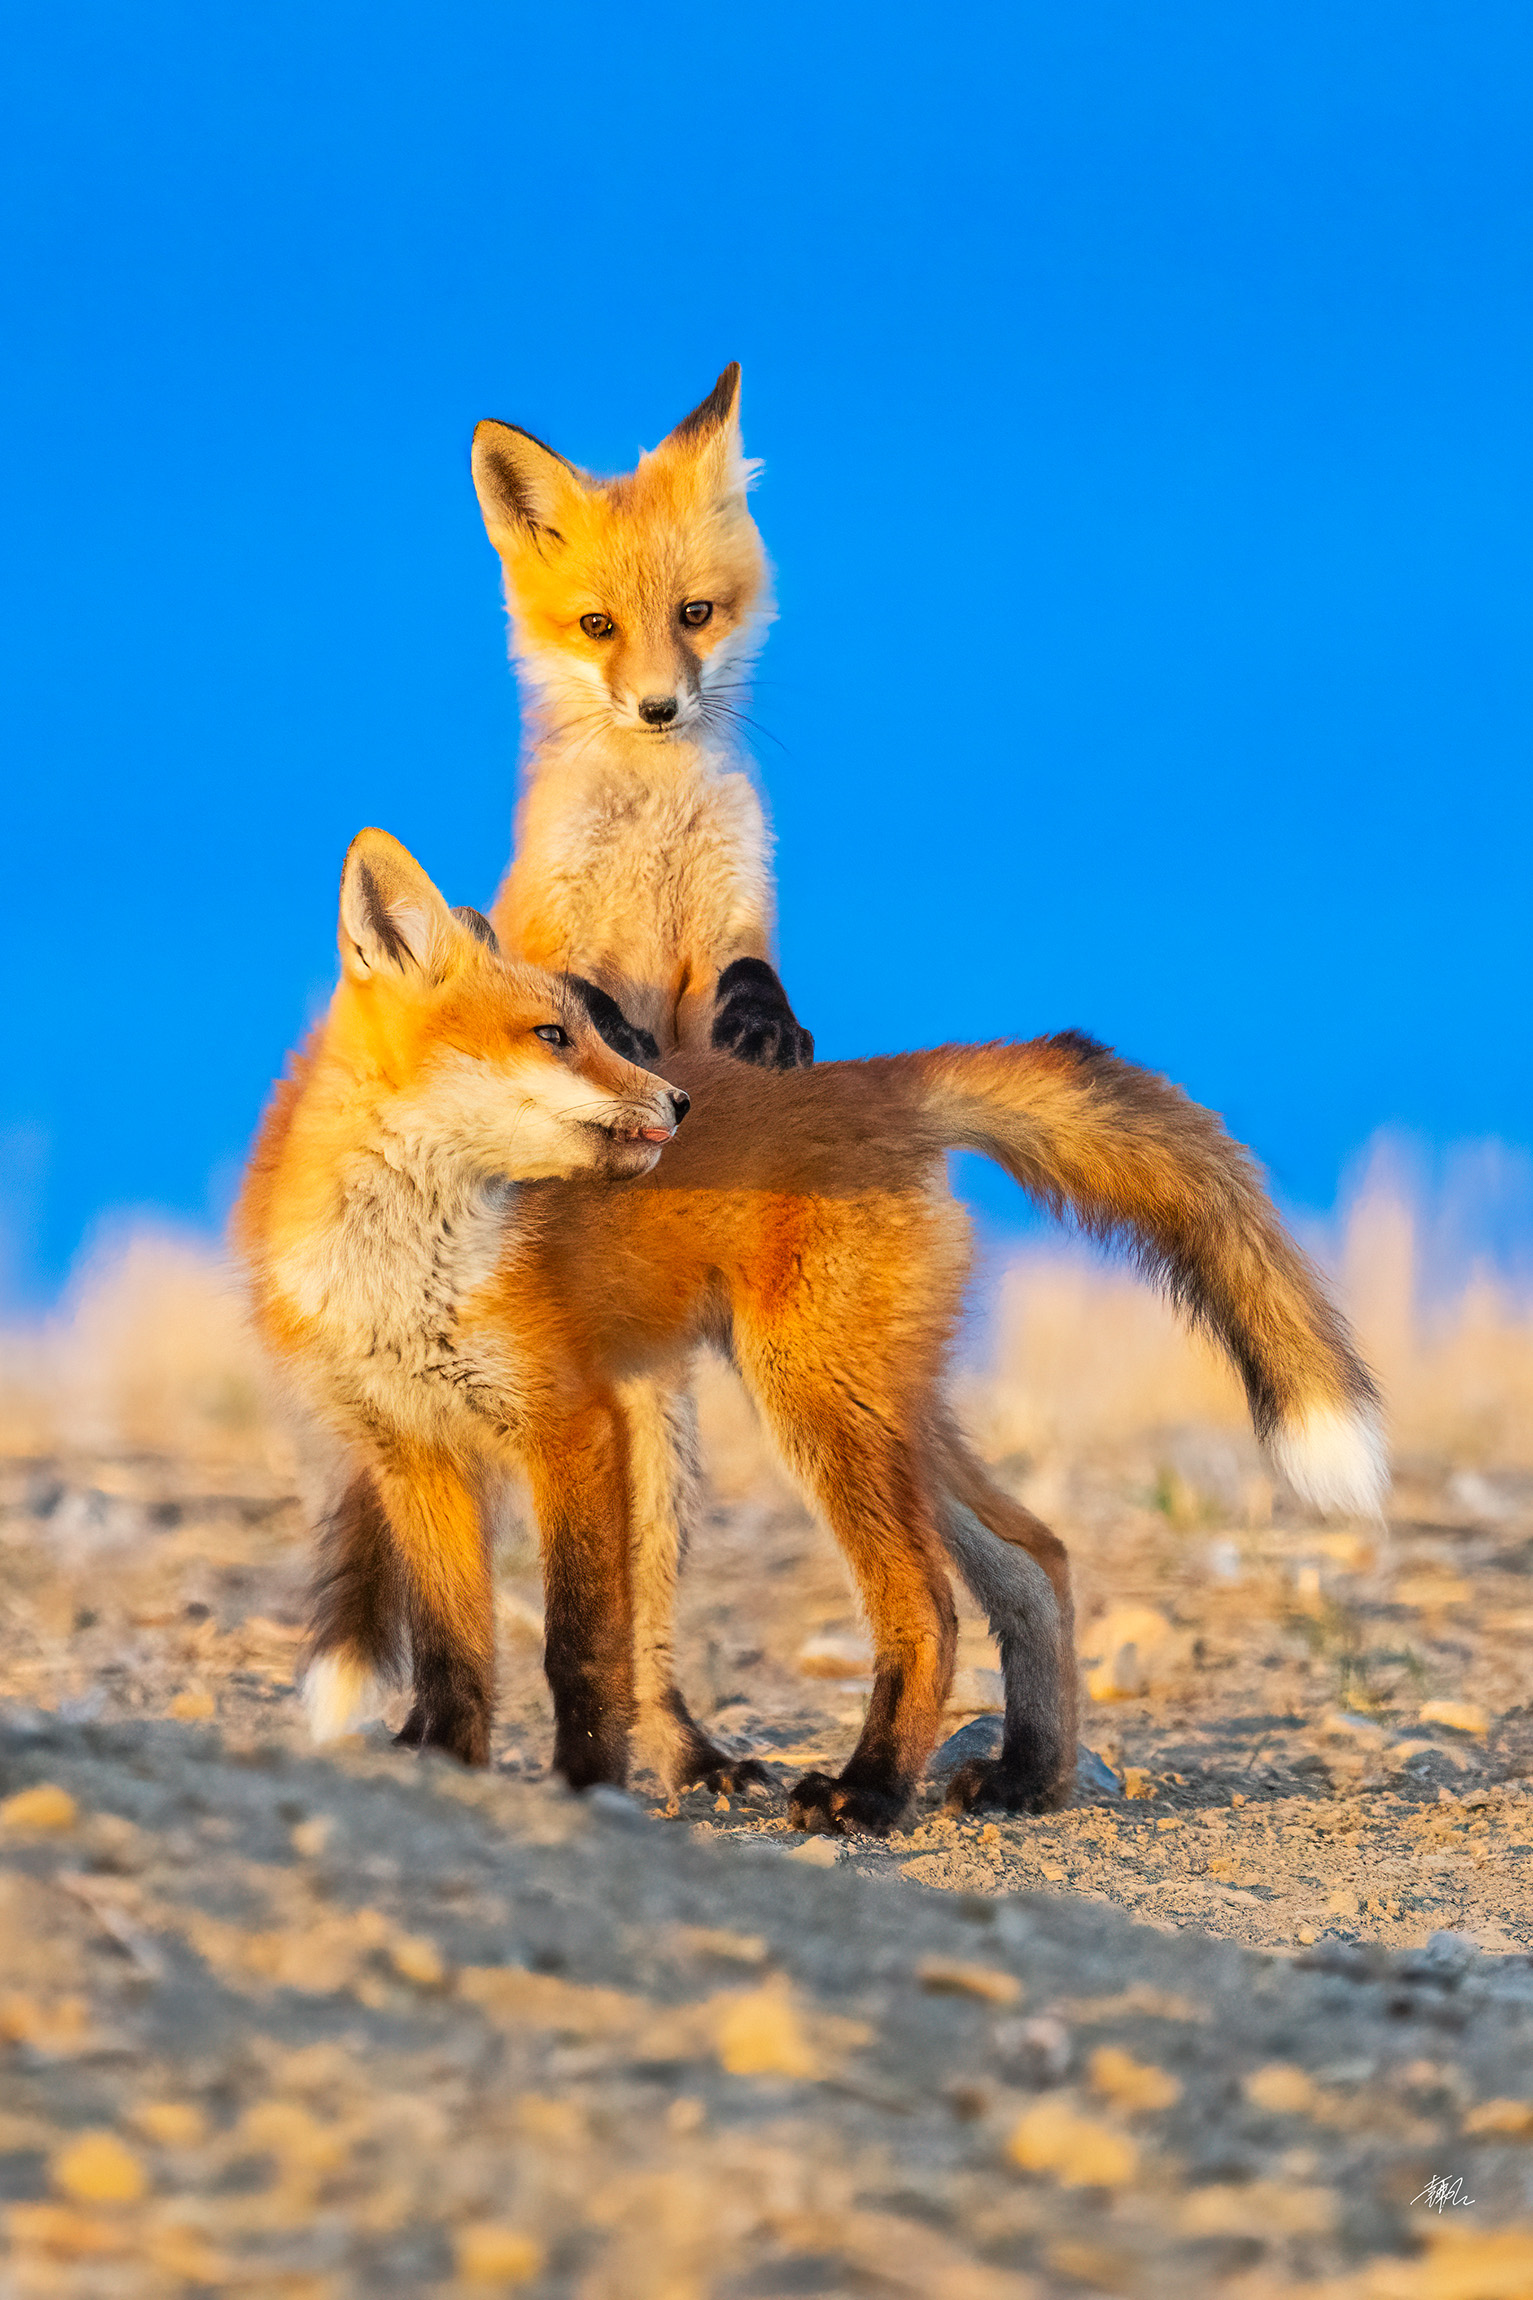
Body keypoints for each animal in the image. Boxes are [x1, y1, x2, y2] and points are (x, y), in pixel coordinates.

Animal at [236, 830, 1386, 1835]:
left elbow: (578, 1645)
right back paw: (1028, 1776)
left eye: (597, 1031)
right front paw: (443, 1768)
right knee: (1033, 1556)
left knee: (927, 1605)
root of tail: (877, 1077)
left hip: (814, 1399)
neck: (405, 1269)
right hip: (875, 1402)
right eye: (554, 1036)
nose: (679, 1101)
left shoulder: (574, 1427)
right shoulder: (413, 1450)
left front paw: (581, 1786)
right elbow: (452, 1653)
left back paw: (869, 1792)